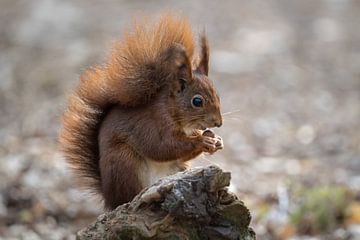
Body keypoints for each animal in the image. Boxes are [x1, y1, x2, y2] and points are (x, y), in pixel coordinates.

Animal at [58, 15, 222, 210]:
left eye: (217, 94)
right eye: (197, 101)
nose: (219, 123)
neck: (171, 109)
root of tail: (109, 198)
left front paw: (215, 140)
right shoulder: (152, 124)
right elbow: (162, 147)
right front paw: (202, 140)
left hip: (176, 168)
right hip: (125, 164)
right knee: (131, 197)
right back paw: (146, 196)